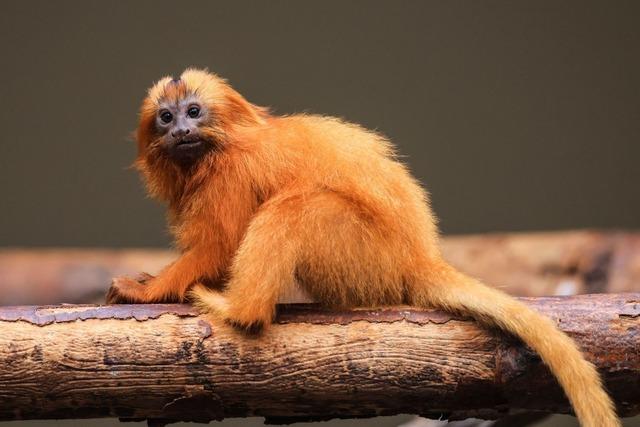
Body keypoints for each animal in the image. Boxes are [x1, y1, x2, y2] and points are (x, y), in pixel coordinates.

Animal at [109, 68, 620, 426]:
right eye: (166, 117)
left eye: (194, 112)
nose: (180, 131)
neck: (218, 145)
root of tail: (418, 257)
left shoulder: (230, 175)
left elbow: (217, 247)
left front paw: (148, 291)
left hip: (363, 255)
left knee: (294, 208)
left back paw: (240, 309)